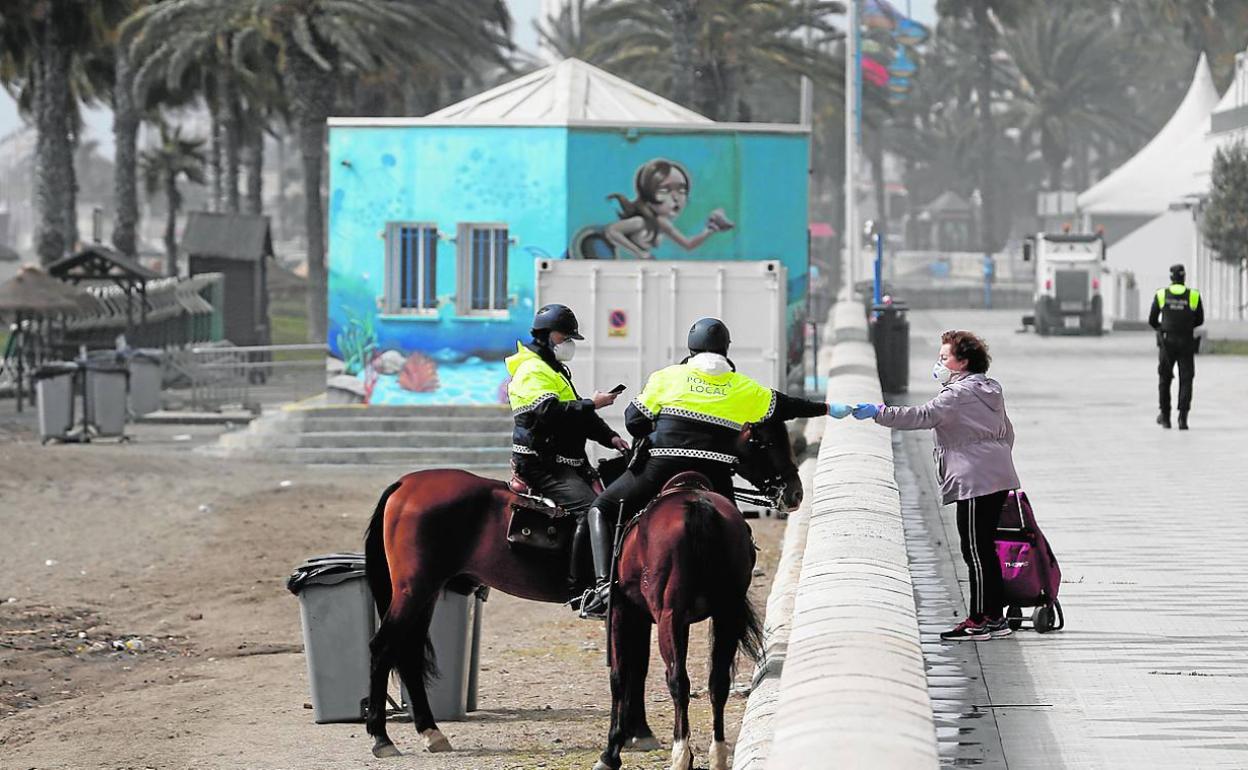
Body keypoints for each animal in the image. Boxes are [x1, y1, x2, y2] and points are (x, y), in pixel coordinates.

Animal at [364, 416, 803, 758]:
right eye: (764, 441)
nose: (795, 492)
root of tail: (406, 484)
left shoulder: (641, 614)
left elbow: (638, 667)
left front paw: (636, 733)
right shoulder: (637, 610)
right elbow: (636, 668)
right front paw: (635, 735)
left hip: (425, 593)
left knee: (407, 653)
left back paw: (430, 731)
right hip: (415, 590)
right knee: (384, 648)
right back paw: (382, 738)